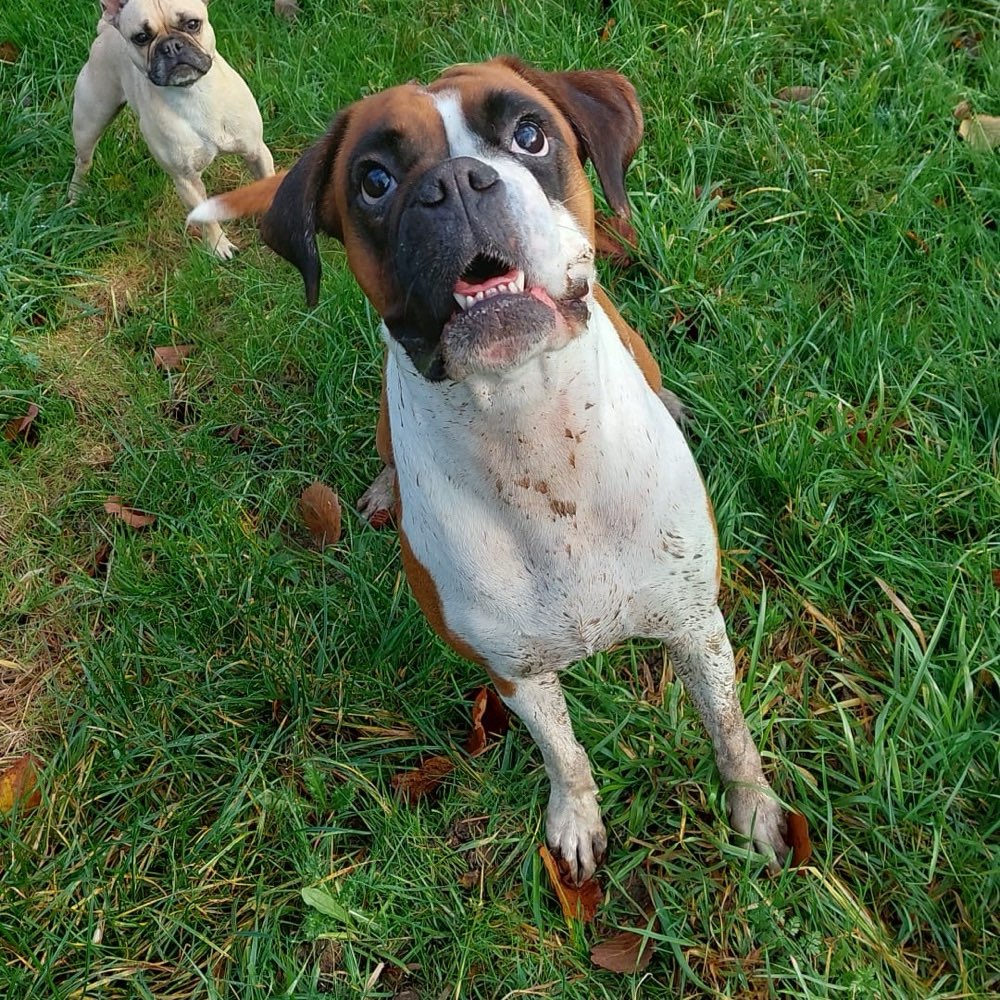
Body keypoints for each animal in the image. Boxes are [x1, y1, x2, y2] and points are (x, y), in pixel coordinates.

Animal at [70, 0, 274, 260]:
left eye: (193, 24)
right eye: (141, 37)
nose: (171, 46)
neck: (193, 92)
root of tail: (106, 29)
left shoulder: (256, 151)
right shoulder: (185, 179)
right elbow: (205, 217)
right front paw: (219, 246)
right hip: (90, 122)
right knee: (83, 161)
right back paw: (76, 194)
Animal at [191, 56, 792, 884]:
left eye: (529, 135)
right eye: (374, 180)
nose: (456, 183)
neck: (530, 434)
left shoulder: (695, 627)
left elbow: (729, 731)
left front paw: (754, 809)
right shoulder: (515, 671)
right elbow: (564, 753)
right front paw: (577, 818)